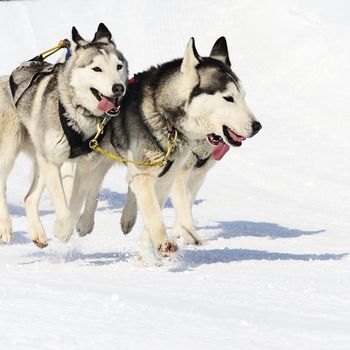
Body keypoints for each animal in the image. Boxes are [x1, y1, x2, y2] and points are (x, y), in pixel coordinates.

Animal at [0, 23, 128, 246]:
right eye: (96, 69)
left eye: (118, 66)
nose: (118, 88)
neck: (77, 113)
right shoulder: (52, 162)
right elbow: (62, 201)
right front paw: (62, 230)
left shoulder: (85, 165)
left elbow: (76, 202)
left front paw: (66, 228)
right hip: (11, 152)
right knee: (2, 186)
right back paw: (6, 228)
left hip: (41, 161)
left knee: (29, 199)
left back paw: (38, 233)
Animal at [76, 37, 260, 262]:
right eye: (228, 98)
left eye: (243, 96)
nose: (257, 126)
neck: (167, 119)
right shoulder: (153, 174)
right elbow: (155, 212)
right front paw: (166, 241)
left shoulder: (171, 175)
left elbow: (158, 210)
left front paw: (149, 251)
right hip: (99, 158)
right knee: (93, 185)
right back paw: (81, 223)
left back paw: (128, 218)